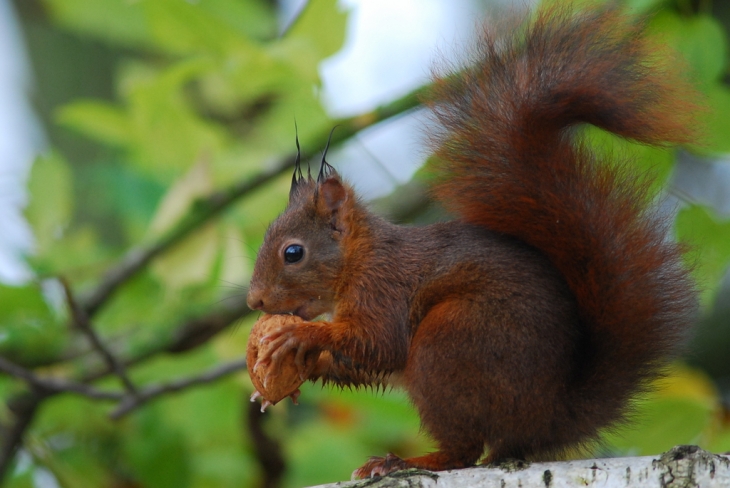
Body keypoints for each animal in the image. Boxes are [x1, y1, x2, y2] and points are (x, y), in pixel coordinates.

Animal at [247, 5, 696, 480]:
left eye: (293, 253)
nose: (255, 302)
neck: (359, 257)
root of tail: (550, 416)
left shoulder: (384, 287)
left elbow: (379, 342)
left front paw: (298, 334)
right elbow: (363, 361)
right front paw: (291, 371)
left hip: (449, 346)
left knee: (462, 450)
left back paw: (404, 460)